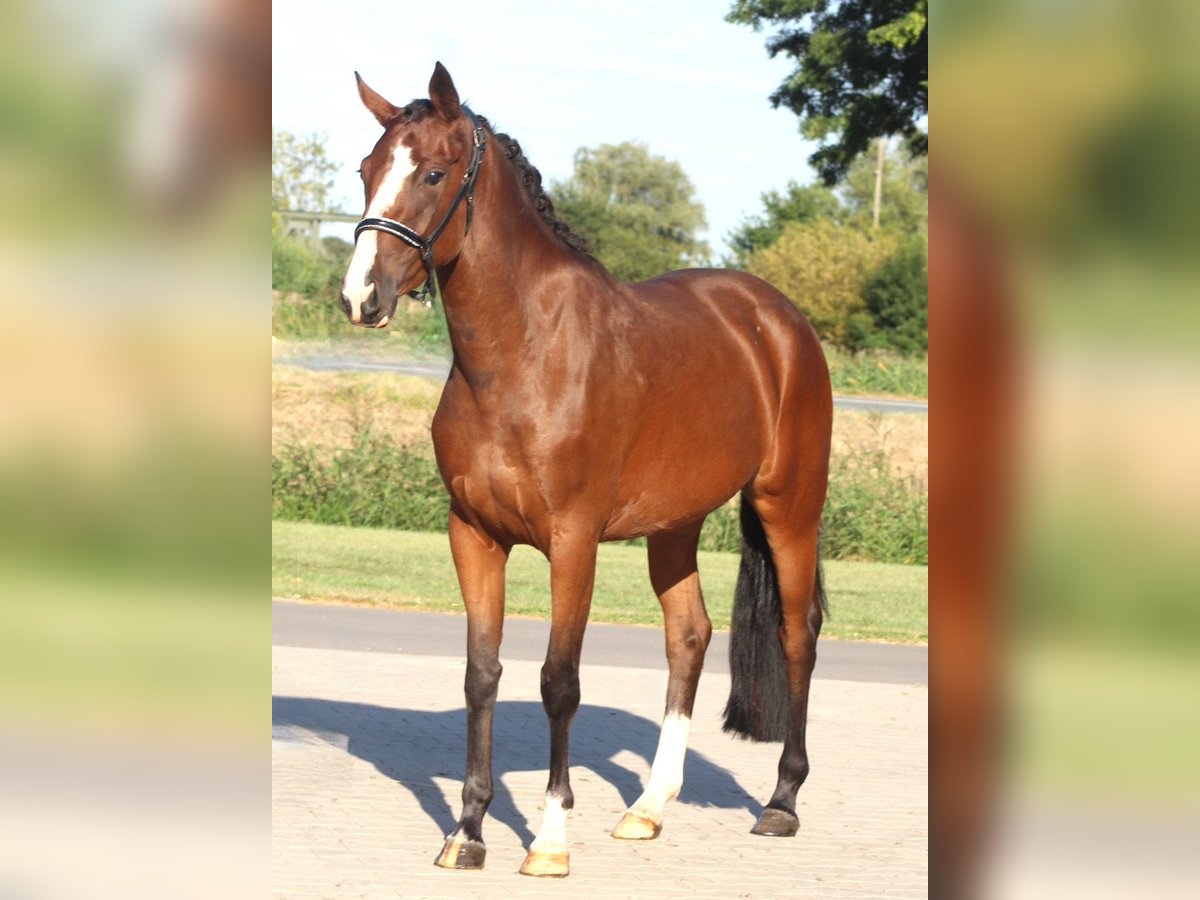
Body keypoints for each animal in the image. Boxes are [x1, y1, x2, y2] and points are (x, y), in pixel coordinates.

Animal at [339, 63, 832, 878]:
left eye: (433, 173)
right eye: (366, 169)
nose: (359, 297)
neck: (524, 354)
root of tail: (777, 320)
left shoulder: (572, 542)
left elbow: (557, 680)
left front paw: (548, 840)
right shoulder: (473, 534)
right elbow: (482, 674)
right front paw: (468, 832)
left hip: (789, 507)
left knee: (799, 634)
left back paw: (783, 801)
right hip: (676, 525)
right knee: (689, 636)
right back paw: (649, 807)